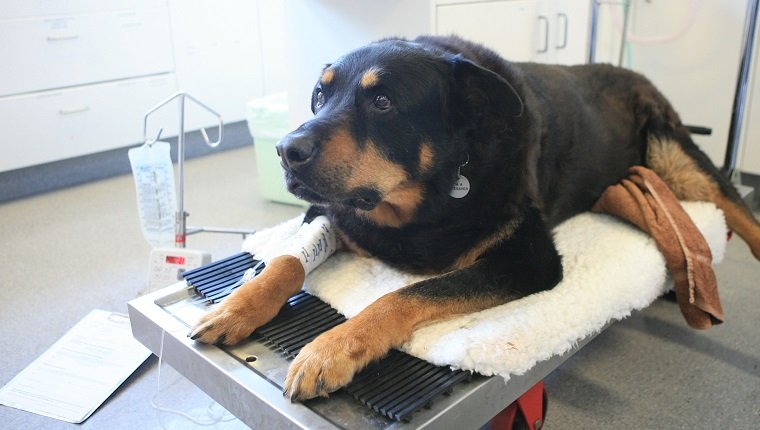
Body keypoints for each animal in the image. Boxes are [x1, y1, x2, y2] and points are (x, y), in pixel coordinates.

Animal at [189, 35, 760, 402]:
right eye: (319, 95)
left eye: (382, 101)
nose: (287, 150)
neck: (424, 199)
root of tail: (633, 72)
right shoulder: (329, 209)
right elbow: (287, 260)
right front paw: (238, 305)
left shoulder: (530, 259)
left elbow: (403, 295)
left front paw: (330, 349)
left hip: (677, 158)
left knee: (738, 207)